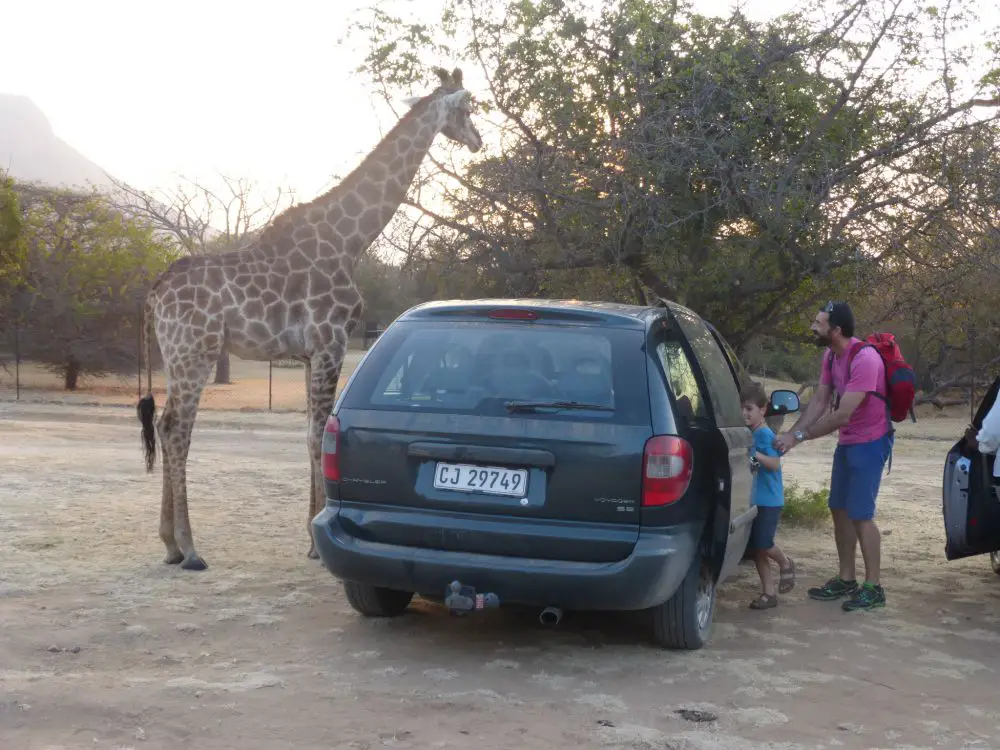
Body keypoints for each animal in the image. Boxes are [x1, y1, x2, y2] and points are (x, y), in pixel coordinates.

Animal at [136, 69, 484, 568]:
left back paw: (168, 544)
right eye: (467, 107)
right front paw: (319, 542)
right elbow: (321, 435)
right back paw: (189, 548)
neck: (350, 237)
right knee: (175, 429)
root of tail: (155, 293)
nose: (478, 141)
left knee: (166, 427)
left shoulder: (306, 353)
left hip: (174, 354)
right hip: (195, 352)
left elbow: (308, 437)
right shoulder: (330, 340)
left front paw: (310, 537)